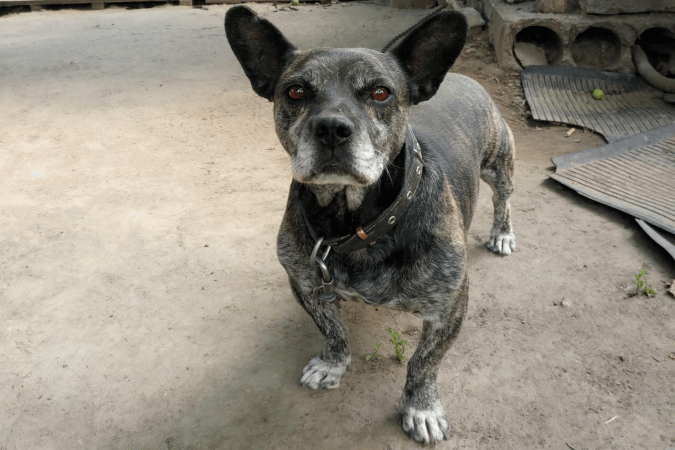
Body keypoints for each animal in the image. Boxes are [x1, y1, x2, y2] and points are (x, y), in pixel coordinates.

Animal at [224, 6, 516, 442]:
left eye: (380, 93)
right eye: (295, 92)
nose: (331, 128)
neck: (354, 220)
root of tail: (461, 77)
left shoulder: (449, 308)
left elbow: (424, 362)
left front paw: (422, 406)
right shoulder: (307, 286)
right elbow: (333, 330)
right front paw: (332, 363)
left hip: (499, 166)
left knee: (503, 199)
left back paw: (503, 233)